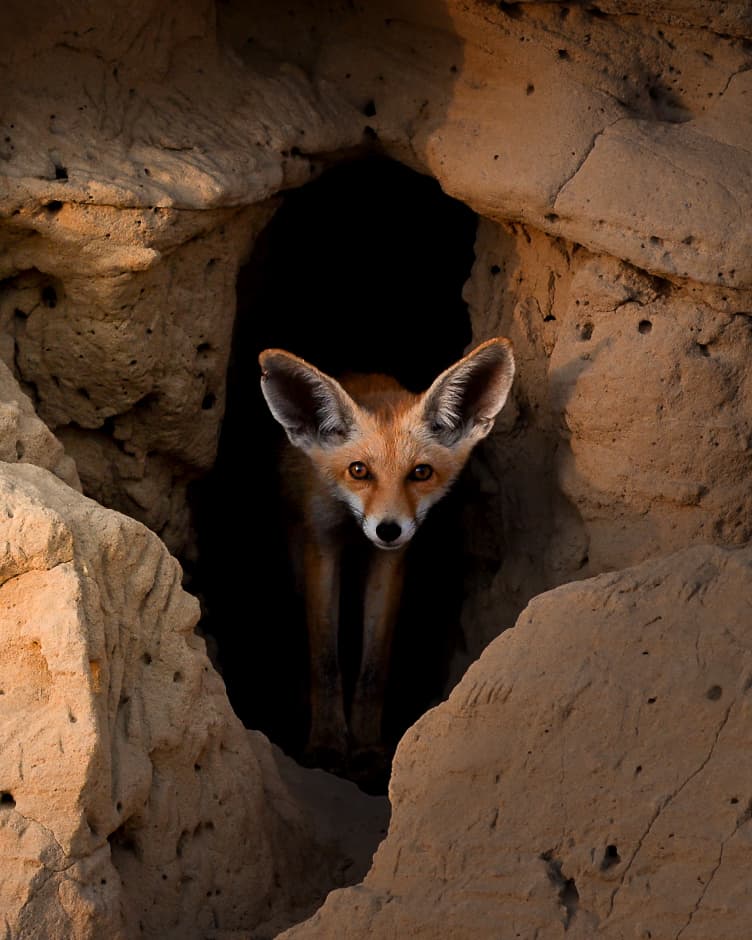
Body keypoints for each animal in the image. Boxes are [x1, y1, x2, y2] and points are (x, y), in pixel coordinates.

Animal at [259, 336, 515, 767]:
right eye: (359, 471)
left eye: (421, 473)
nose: (389, 529)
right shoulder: (321, 545)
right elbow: (325, 661)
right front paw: (326, 743)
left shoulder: (390, 560)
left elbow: (373, 669)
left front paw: (366, 747)